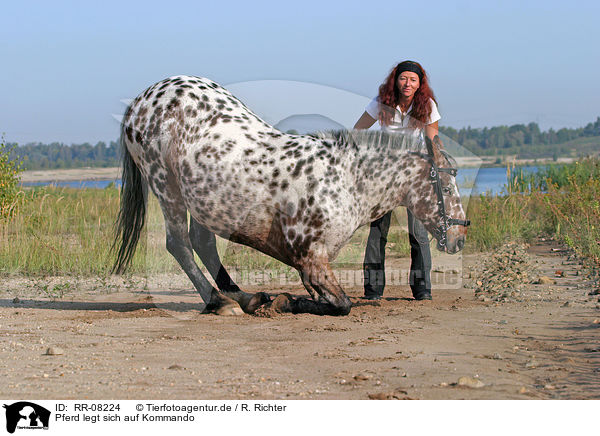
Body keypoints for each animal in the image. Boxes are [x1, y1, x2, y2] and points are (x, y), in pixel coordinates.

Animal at [112, 73, 468, 316]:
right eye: (447, 185)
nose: (459, 238)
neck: (347, 180)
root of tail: (140, 101)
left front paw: (283, 300)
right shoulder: (310, 259)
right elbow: (341, 304)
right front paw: (288, 302)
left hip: (204, 199)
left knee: (204, 243)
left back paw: (247, 298)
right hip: (165, 183)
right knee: (179, 244)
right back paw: (218, 301)